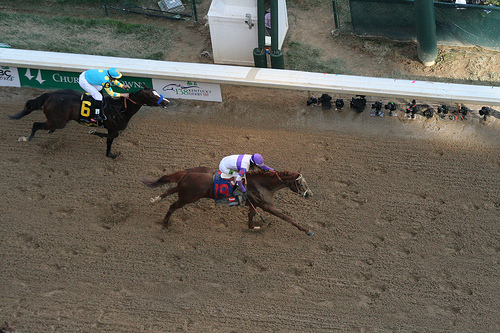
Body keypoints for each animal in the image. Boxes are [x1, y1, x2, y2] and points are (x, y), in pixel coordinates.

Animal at [8, 85, 170, 159]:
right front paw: (111, 154)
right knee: (36, 124)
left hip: (57, 121)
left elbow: (108, 136)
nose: (166, 102)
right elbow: (110, 141)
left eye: (157, 92)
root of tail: (49, 95)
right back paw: (26, 138)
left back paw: (48, 131)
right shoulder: (113, 128)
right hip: (59, 121)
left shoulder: (112, 129)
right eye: (153, 96)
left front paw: (93, 131)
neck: (121, 109)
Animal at [141, 167, 314, 235]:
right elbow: (287, 217)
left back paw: (154, 199)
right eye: (300, 184)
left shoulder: (254, 204)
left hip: (184, 191)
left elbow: (250, 218)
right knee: (172, 205)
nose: (310, 194)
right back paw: (165, 223)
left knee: (169, 190)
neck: (262, 184)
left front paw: (254, 227)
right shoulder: (267, 206)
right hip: (188, 197)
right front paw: (307, 230)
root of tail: (188, 172)